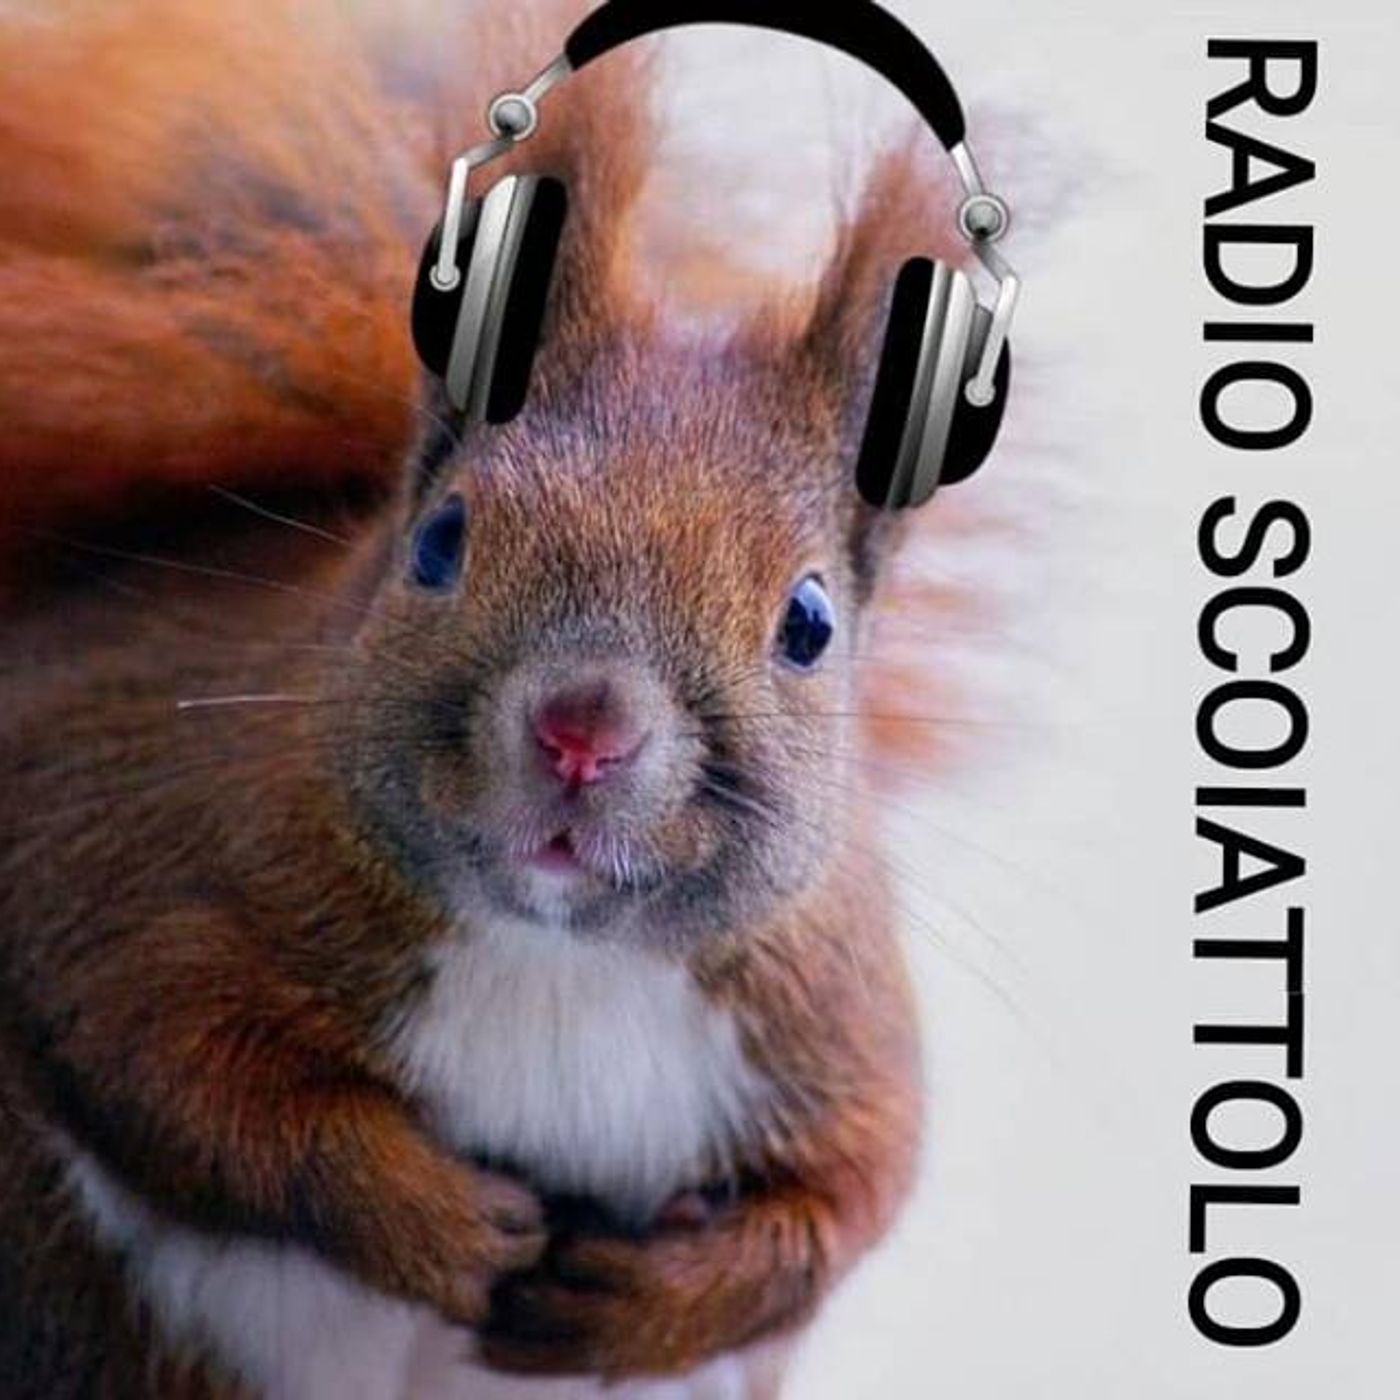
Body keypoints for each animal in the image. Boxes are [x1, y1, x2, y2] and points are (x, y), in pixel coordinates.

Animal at [0, 1, 978, 1396]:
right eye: (440, 540)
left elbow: (840, 1201)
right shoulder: (122, 855)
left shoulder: (835, 1033)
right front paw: (444, 1224)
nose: (582, 732)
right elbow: (174, 1070)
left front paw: (642, 1300)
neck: (554, 954)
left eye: (808, 624)